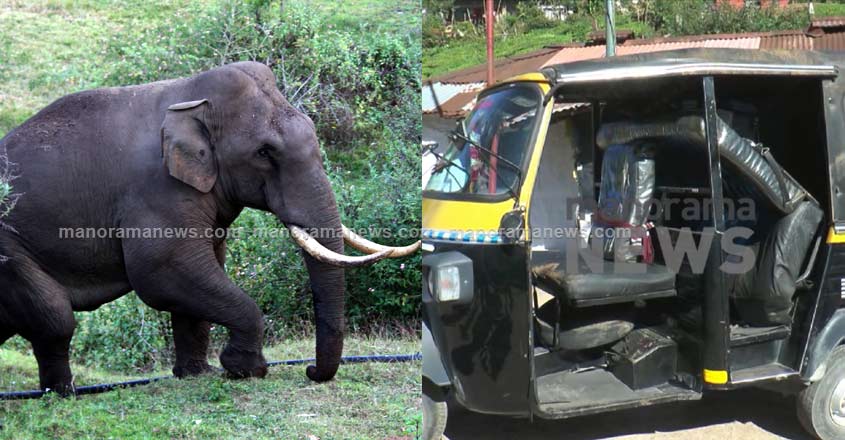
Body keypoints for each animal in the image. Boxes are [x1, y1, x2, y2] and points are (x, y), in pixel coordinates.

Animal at [0, 61, 419, 394]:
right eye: (264, 152)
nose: (311, 371)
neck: (187, 94)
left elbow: (200, 270)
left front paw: (196, 374)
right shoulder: (155, 192)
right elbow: (162, 271)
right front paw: (244, 368)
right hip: (9, 248)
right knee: (55, 318)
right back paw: (63, 394)